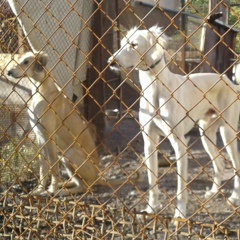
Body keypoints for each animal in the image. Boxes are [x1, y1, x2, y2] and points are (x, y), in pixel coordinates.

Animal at [108, 26, 240, 219]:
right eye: (123, 43)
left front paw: (180, 213)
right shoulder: (149, 142)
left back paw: (235, 197)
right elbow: (152, 182)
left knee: (236, 164)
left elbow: (180, 188)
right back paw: (213, 192)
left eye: (134, 44)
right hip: (206, 133)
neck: (155, 87)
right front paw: (151, 208)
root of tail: (229, 80)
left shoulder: (180, 144)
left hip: (227, 132)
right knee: (220, 163)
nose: (110, 61)